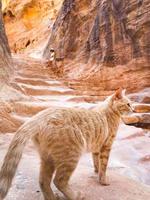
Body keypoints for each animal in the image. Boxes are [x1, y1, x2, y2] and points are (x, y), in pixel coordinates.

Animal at [0, 89, 132, 200]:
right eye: (128, 104)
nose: (133, 109)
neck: (109, 111)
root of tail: (40, 115)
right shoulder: (106, 145)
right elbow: (104, 165)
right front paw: (103, 180)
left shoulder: (97, 147)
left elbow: (96, 162)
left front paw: (96, 172)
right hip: (71, 156)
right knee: (59, 181)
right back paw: (76, 196)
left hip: (48, 158)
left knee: (43, 181)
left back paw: (53, 197)